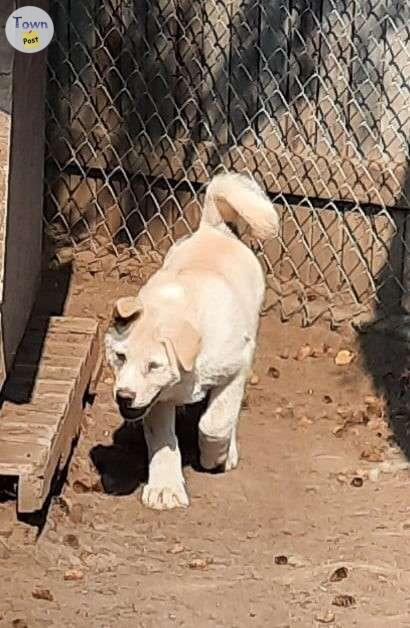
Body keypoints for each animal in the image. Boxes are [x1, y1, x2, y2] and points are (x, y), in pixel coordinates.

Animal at [105, 173, 278, 510]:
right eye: (120, 357)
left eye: (154, 365)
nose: (124, 397)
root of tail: (213, 227)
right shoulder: (157, 399)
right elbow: (162, 440)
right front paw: (165, 489)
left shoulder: (237, 367)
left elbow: (216, 421)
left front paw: (216, 456)